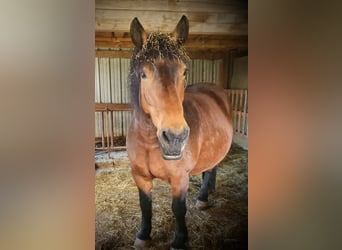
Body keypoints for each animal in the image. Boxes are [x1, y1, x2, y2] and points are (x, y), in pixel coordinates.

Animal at [127, 16, 234, 250]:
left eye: (184, 71)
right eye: (143, 74)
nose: (175, 137)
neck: (149, 142)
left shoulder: (179, 179)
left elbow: (178, 209)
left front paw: (179, 241)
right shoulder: (140, 177)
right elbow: (145, 205)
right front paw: (143, 236)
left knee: (211, 169)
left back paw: (202, 199)